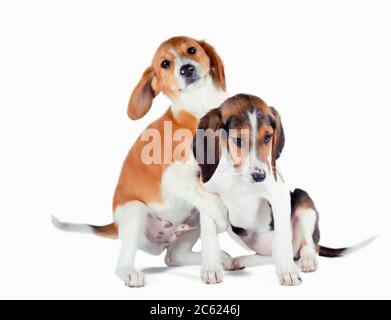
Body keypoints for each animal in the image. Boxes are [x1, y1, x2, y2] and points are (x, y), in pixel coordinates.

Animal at [51, 37, 231, 288]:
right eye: (165, 64)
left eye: (192, 49)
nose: (186, 69)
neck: (199, 106)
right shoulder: (176, 177)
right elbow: (211, 207)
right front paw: (213, 260)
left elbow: (208, 225)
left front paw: (212, 266)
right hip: (134, 212)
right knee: (124, 261)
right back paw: (130, 273)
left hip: (187, 222)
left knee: (173, 256)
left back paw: (218, 258)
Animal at [194, 94, 376, 286]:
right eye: (238, 140)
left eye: (268, 138)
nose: (260, 176)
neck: (236, 176)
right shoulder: (207, 196)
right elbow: (209, 236)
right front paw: (210, 268)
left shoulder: (278, 195)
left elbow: (281, 237)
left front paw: (287, 272)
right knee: (272, 256)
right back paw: (238, 261)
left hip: (303, 200)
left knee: (307, 247)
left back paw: (307, 260)